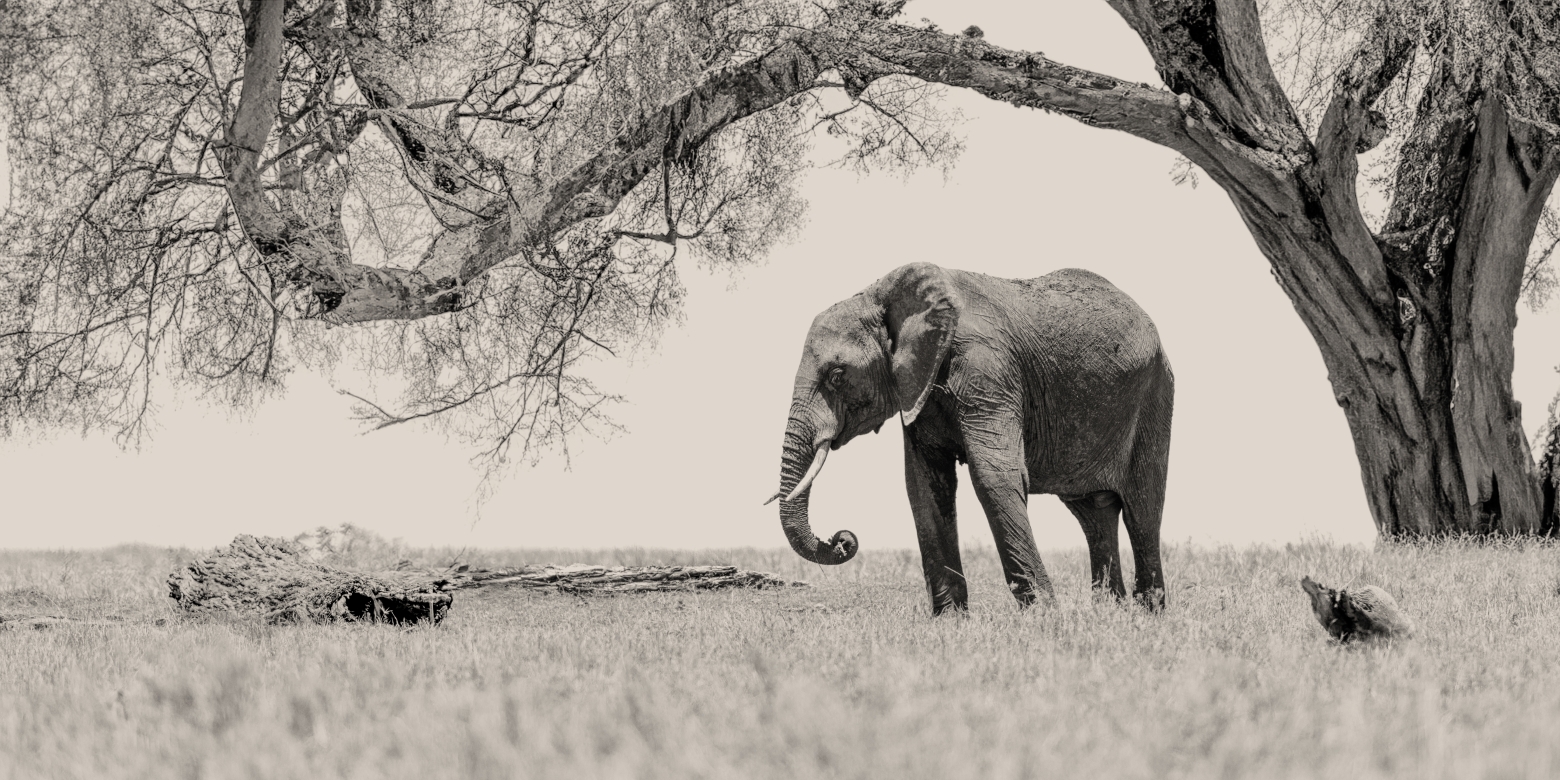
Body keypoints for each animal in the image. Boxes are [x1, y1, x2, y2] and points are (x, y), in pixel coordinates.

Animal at [761, 262, 1173, 614]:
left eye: (837, 375)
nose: (842, 538)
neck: (881, 295)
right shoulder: (918, 388)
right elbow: (924, 486)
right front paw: (950, 622)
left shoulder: (987, 370)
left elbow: (994, 476)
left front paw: (1044, 619)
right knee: (1093, 513)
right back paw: (1110, 613)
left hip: (1155, 394)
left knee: (1142, 510)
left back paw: (1148, 614)